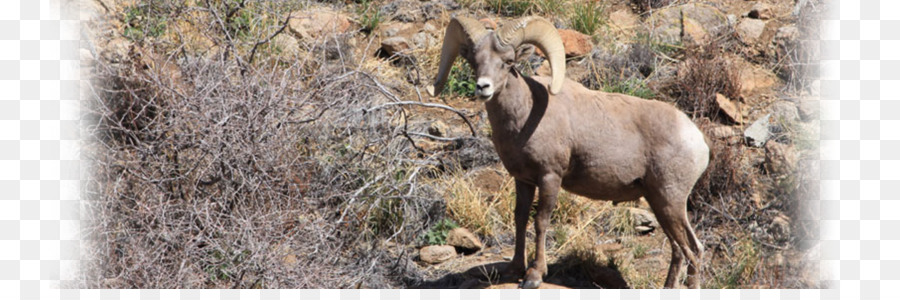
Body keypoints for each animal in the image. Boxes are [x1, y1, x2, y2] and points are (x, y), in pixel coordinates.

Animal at [428, 16, 712, 288]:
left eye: (508, 62)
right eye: (473, 61)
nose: (483, 87)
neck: (524, 116)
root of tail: (698, 142)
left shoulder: (550, 177)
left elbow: (541, 221)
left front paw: (534, 275)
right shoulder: (523, 180)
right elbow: (520, 219)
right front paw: (515, 270)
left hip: (669, 201)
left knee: (692, 250)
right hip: (659, 202)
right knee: (682, 249)